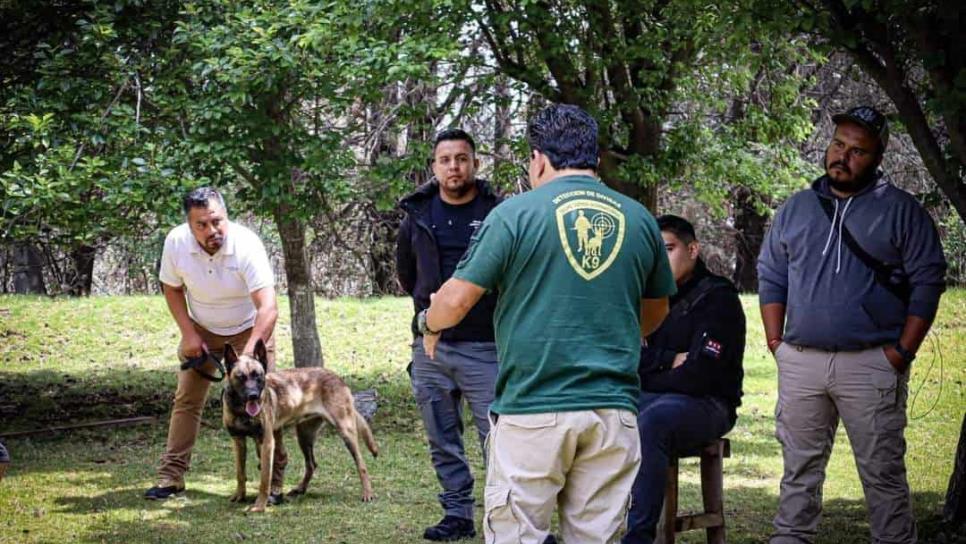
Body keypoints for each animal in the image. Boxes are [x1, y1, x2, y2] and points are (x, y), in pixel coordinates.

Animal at [225, 338, 380, 512]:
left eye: (258, 376)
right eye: (241, 377)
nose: (253, 396)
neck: (241, 410)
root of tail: (337, 377)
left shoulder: (267, 442)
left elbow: (265, 479)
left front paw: (259, 506)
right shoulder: (238, 440)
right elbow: (240, 472)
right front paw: (239, 495)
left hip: (346, 431)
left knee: (361, 464)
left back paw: (367, 493)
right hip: (304, 437)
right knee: (311, 464)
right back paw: (300, 488)